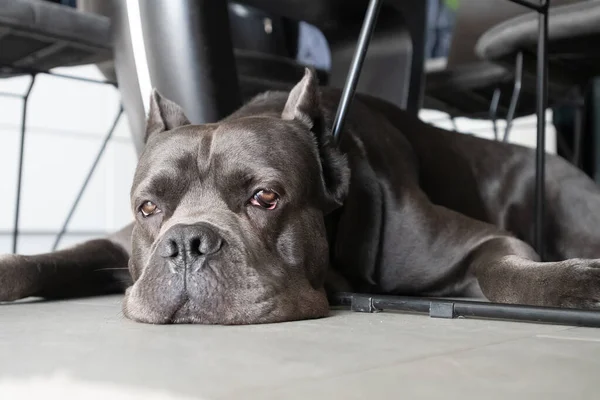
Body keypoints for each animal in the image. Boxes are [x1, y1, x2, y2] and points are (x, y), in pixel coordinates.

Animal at [1, 69, 600, 324]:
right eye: (149, 209)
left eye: (265, 198)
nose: (185, 243)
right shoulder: (116, 246)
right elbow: (54, 257)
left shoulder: (481, 241)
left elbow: (505, 273)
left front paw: (574, 283)